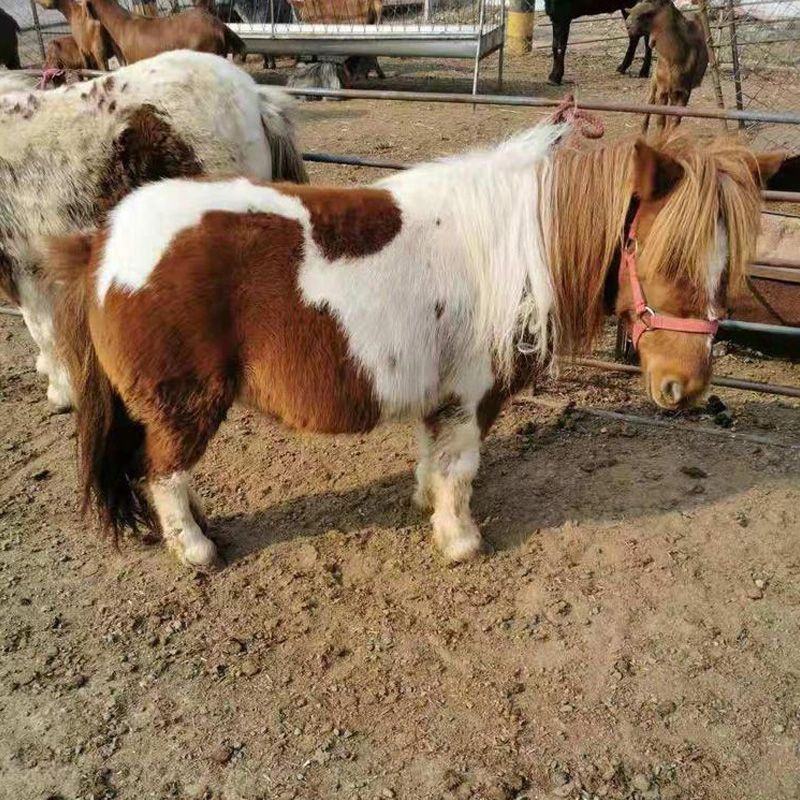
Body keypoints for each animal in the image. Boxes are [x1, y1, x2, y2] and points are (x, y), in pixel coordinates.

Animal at [49, 126, 779, 569]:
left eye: (727, 271)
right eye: (663, 258)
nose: (687, 388)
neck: (512, 246)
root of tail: (102, 243)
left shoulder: (443, 396)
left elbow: (434, 458)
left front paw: (428, 506)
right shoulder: (472, 397)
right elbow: (461, 468)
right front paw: (460, 541)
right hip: (183, 405)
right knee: (164, 474)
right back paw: (197, 550)